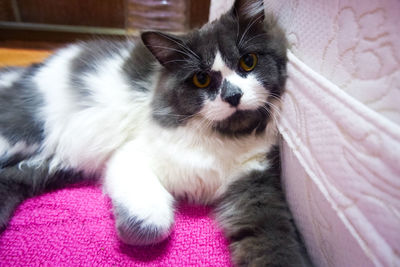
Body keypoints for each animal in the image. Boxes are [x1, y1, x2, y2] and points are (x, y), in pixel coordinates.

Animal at [0, 0, 310, 266]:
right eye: (201, 79)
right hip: (21, 136)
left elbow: (274, 243)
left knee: (13, 176)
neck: (224, 137)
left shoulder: (254, 183)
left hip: (52, 164)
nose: (233, 96)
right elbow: (153, 224)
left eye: (248, 61)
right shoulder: (130, 156)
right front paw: (128, 231)